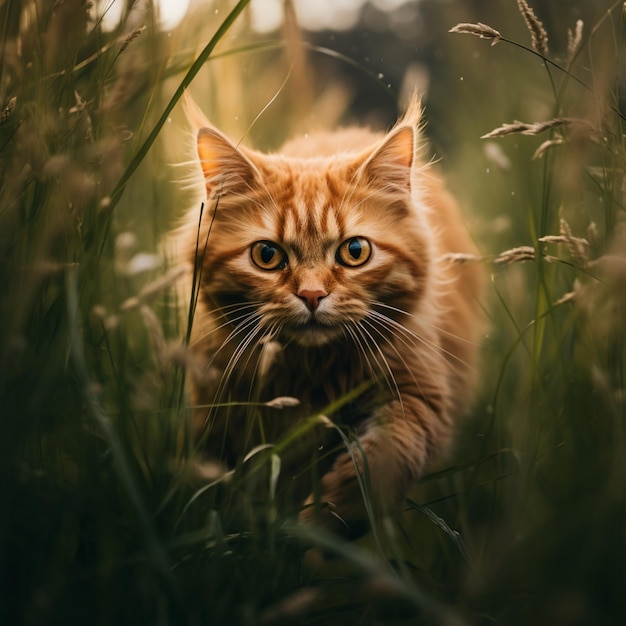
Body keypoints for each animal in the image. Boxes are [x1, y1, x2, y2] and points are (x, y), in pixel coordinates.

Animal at [177, 95, 482, 532]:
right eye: (267, 255)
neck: (311, 374)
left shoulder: (421, 396)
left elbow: (387, 458)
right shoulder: (214, 417)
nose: (312, 294)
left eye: (354, 252)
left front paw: (325, 517)